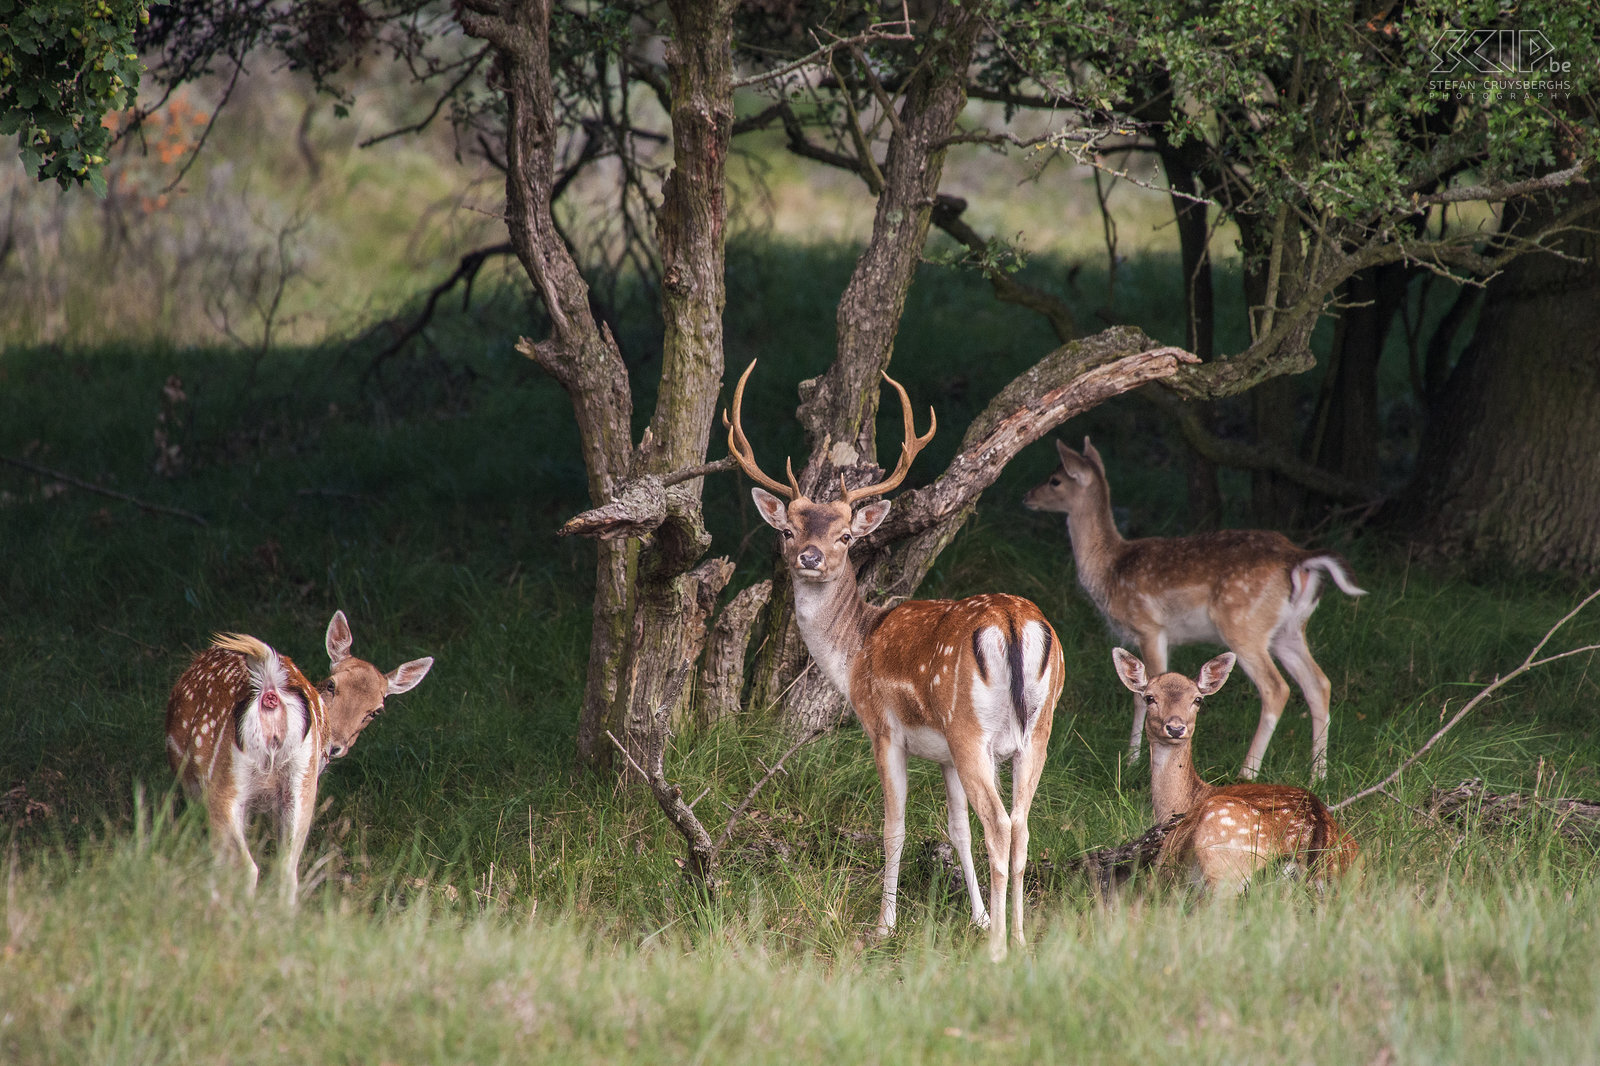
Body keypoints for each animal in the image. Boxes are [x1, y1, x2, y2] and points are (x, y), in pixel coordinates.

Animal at [165, 611, 435, 902]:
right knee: (286, 869)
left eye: (375, 711)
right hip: (301, 784)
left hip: (222, 778)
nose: (335, 745)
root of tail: (270, 692)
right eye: (332, 685)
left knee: (243, 865)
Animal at [732, 358, 1068, 960]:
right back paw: (1019, 937)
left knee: (1000, 825)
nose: (809, 556)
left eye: (846, 535)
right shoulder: (945, 755)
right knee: (1022, 825)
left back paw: (999, 948)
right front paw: (979, 916)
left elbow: (896, 827)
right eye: (789, 530)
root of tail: (1014, 623)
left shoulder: (883, 728)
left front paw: (885, 926)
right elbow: (956, 829)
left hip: (971, 727)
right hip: (1035, 728)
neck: (856, 650)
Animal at [1024, 435, 1363, 777]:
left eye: (1055, 479)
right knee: (1319, 683)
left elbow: (1139, 695)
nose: (1027, 496)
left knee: (1276, 688)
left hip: (1243, 624)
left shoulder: (1148, 626)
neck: (1110, 569)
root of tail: (1297, 559)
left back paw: (1247, 771)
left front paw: (1134, 760)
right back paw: (1318, 773)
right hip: (1289, 630)